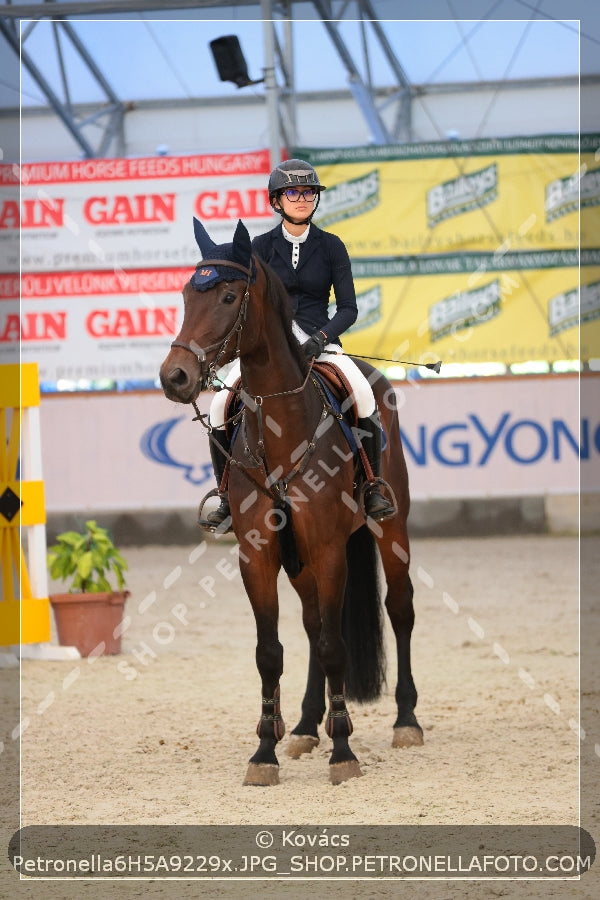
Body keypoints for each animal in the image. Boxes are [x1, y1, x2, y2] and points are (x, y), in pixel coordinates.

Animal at [159, 220, 422, 788]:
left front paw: (343, 751)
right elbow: (271, 652)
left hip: (391, 531)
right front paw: (266, 750)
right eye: (188, 294)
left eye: (229, 296)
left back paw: (406, 720)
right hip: (297, 561)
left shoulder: (328, 550)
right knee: (313, 625)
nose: (175, 377)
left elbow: (335, 646)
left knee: (399, 608)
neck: (284, 429)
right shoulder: (258, 556)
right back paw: (303, 725)